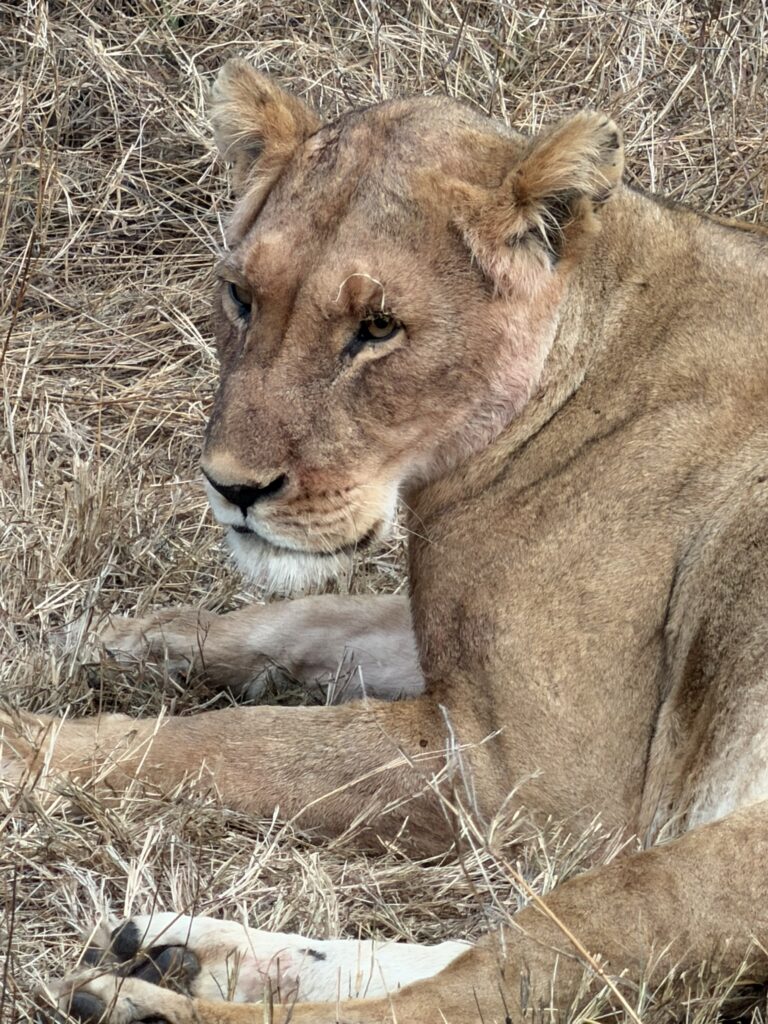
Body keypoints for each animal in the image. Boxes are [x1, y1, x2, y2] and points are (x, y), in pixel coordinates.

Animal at [3, 60, 768, 1024]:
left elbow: (231, 744)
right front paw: (95, 640)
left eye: (377, 328)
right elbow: (303, 623)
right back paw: (180, 952)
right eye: (241, 297)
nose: (231, 487)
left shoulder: (534, 780)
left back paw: (148, 1000)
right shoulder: (446, 650)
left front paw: (23, 745)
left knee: (490, 990)